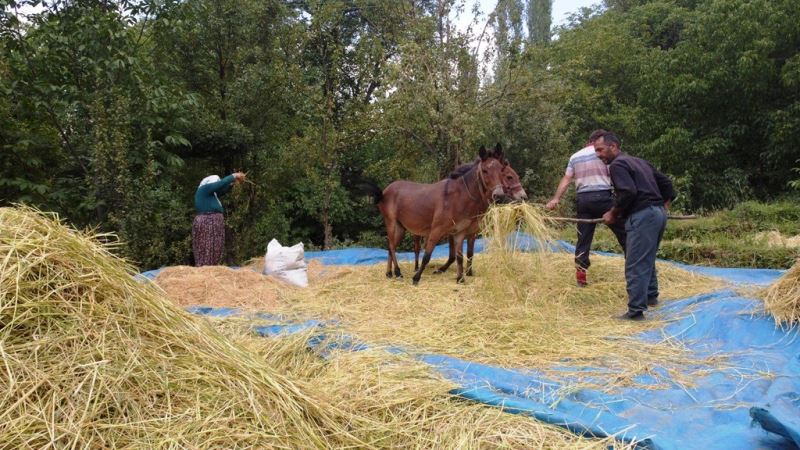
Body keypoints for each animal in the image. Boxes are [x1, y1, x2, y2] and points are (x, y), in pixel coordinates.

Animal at [368, 144, 512, 284]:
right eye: (485, 170)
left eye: (501, 170)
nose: (499, 195)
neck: (458, 197)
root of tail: (384, 192)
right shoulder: (436, 230)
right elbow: (427, 256)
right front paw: (416, 278)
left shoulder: (459, 233)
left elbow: (459, 256)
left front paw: (460, 278)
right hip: (391, 222)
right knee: (392, 246)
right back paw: (398, 272)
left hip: (400, 227)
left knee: (390, 247)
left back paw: (389, 273)